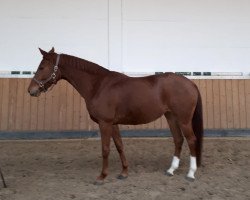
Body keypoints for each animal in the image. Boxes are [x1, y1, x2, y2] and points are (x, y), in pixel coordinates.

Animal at [27, 47, 203, 184]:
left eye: (42, 67)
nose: (31, 90)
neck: (99, 85)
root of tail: (190, 83)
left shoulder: (104, 123)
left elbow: (105, 149)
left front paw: (102, 176)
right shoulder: (113, 124)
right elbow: (119, 146)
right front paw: (124, 173)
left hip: (184, 120)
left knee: (191, 140)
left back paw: (191, 174)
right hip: (171, 117)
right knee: (178, 139)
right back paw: (171, 170)